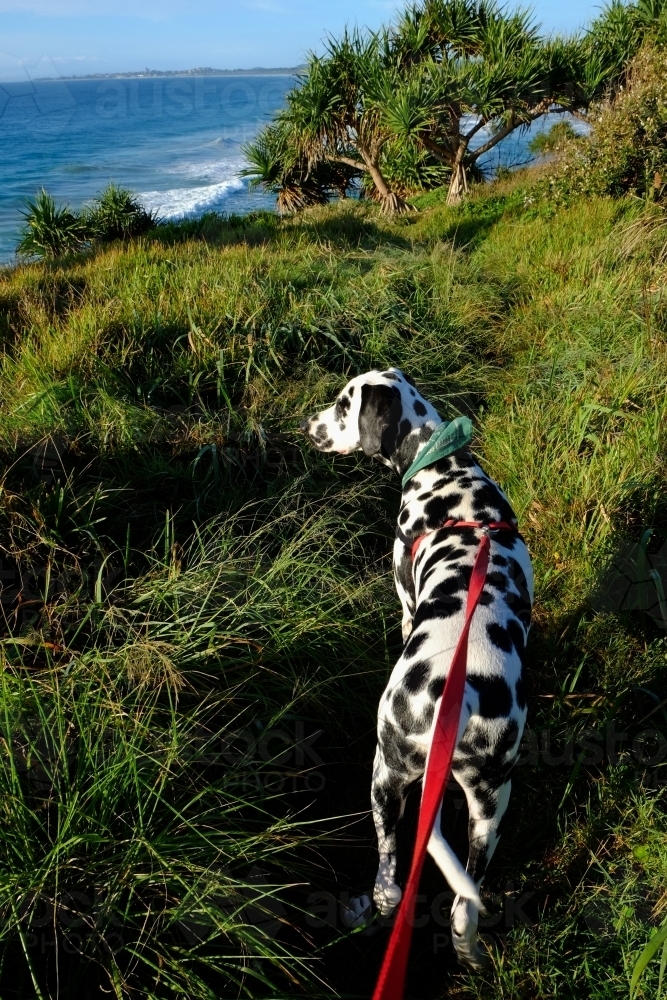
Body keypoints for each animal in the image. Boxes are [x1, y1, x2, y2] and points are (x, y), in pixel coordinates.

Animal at [300, 368, 536, 968]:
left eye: (343, 404)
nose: (308, 425)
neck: (442, 467)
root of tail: (459, 694)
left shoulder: (406, 600)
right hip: (490, 806)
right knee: (462, 907)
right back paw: (470, 958)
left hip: (384, 773)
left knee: (390, 881)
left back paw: (368, 909)